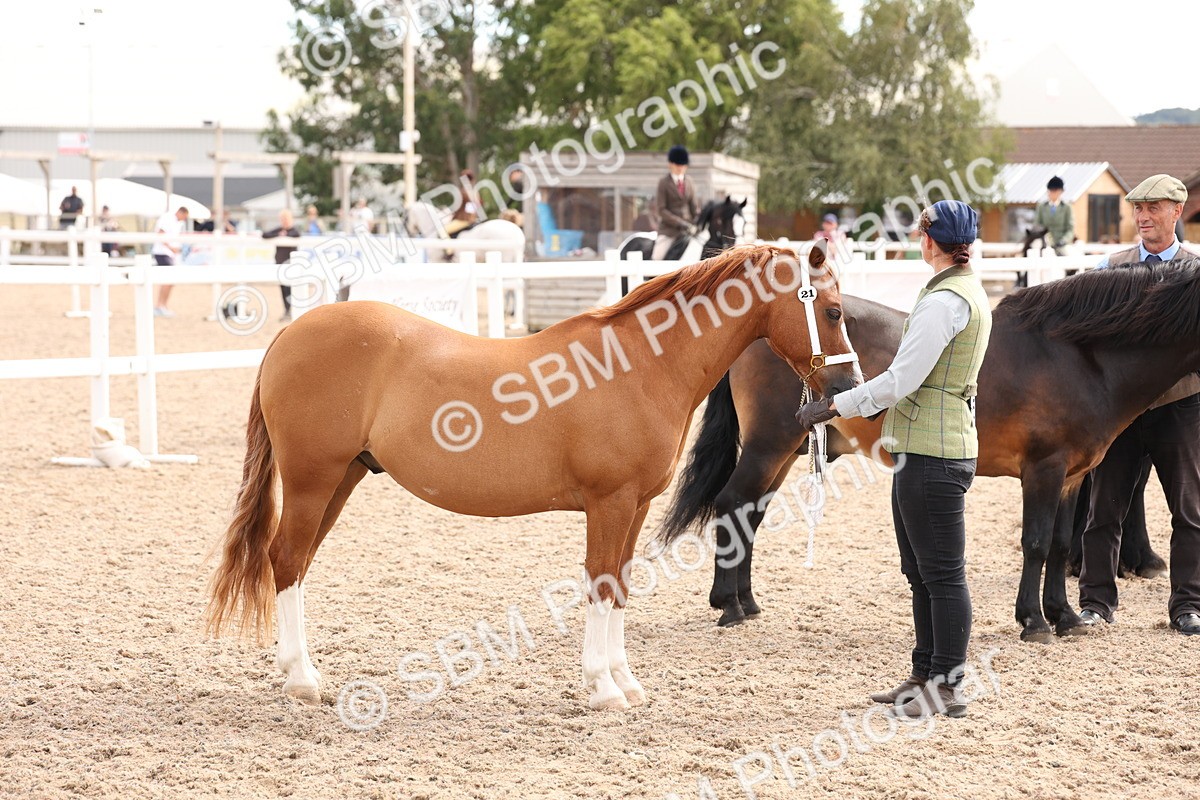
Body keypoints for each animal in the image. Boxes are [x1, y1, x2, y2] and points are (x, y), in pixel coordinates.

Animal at [205, 243, 862, 711]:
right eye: (832, 311)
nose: (847, 388)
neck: (640, 363)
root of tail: (291, 334)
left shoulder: (635, 505)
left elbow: (621, 584)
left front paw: (625, 681)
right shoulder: (610, 502)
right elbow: (601, 582)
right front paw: (604, 689)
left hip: (341, 479)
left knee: (293, 562)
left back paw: (297, 673)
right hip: (312, 480)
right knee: (287, 559)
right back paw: (303, 681)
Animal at [661, 260, 1199, 642]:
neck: (1074, 355)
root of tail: (757, 331)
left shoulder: (1072, 476)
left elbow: (1064, 544)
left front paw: (1065, 616)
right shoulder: (1044, 471)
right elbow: (1036, 543)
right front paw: (1034, 622)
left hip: (785, 449)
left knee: (748, 515)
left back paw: (748, 602)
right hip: (767, 445)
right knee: (732, 504)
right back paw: (729, 605)